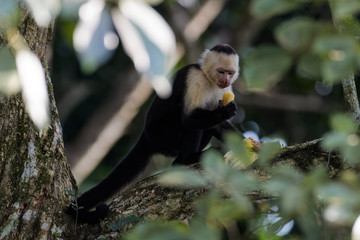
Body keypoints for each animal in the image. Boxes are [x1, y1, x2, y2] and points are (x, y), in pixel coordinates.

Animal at [67, 43, 242, 223]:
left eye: (230, 73)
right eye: (221, 71)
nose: (226, 79)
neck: (209, 79)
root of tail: (145, 136)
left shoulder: (223, 90)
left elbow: (219, 126)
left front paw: (245, 144)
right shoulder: (194, 78)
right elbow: (188, 119)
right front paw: (223, 113)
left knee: (208, 124)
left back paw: (181, 161)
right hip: (162, 135)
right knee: (189, 121)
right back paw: (188, 159)